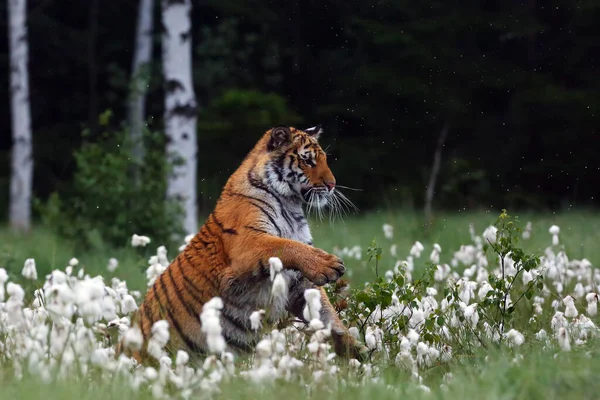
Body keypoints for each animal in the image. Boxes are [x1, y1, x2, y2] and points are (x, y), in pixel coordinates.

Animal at [118, 126, 366, 364]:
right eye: (308, 161)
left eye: (323, 160)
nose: (332, 185)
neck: (290, 205)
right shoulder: (248, 244)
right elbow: (286, 245)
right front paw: (329, 264)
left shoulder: (299, 282)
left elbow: (326, 313)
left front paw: (356, 350)